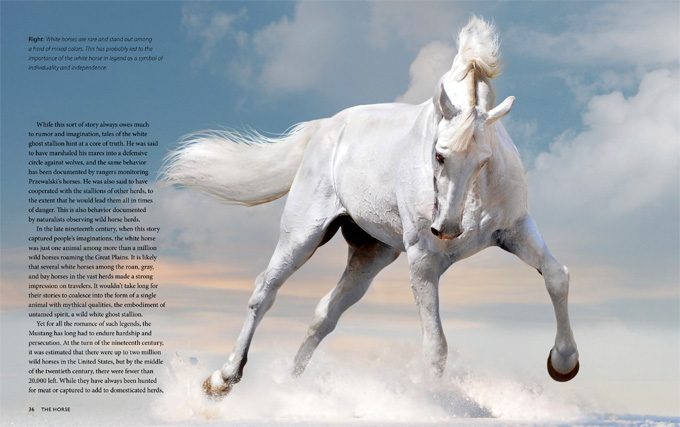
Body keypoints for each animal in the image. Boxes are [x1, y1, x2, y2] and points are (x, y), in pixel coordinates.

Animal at [161, 16, 579, 398]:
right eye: (439, 155)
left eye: (483, 161)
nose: (446, 229)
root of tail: (325, 128)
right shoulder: (424, 260)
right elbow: (435, 347)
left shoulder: (516, 230)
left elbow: (556, 276)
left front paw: (563, 363)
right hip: (302, 235)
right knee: (265, 290)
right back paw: (222, 378)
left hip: (371, 253)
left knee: (324, 314)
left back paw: (290, 387)